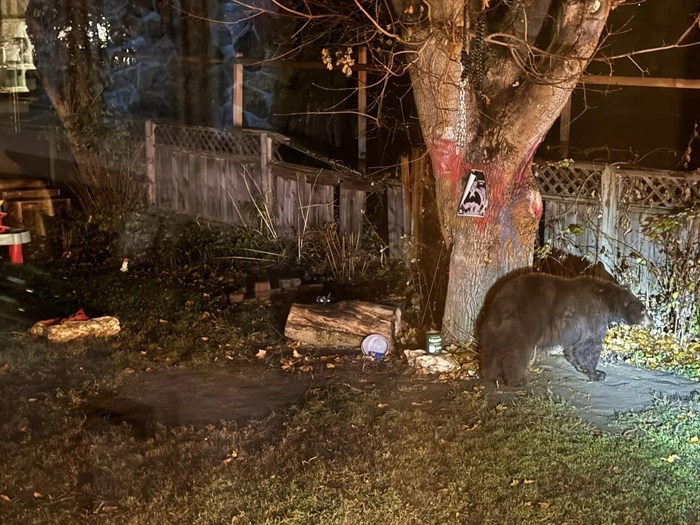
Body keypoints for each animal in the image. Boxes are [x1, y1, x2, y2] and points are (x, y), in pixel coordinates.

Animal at [476, 270, 652, 384]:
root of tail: (500, 305)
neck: (607, 301)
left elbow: (574, 348)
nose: (651, 322)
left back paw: (490, 375)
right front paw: (597, 373)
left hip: (493, 330)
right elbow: (589, 346)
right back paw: (517, 380)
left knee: (490, 351)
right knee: (516, 353)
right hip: (521, 326)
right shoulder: (593, 317)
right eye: (644, 310)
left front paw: (582, 367)